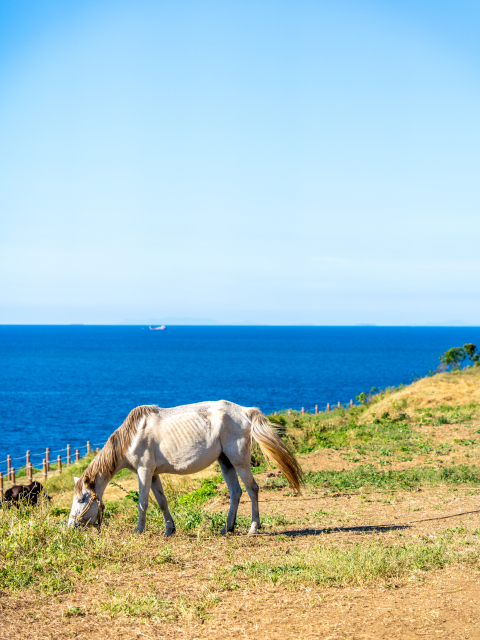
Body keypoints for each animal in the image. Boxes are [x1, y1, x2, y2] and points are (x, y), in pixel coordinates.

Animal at [67, 400, 302, 536]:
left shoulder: (144, 472)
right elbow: (162, 502)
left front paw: (139, 530)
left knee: (253, 489)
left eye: (82, 499)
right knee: (235, 492)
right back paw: (227, 528)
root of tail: (245, 412)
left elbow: (143, 503)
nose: (70, 526)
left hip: (239, 461)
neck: (133, 435)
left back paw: (253, 528)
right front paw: (169, 529)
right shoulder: (153, 475)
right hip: (225, 461)